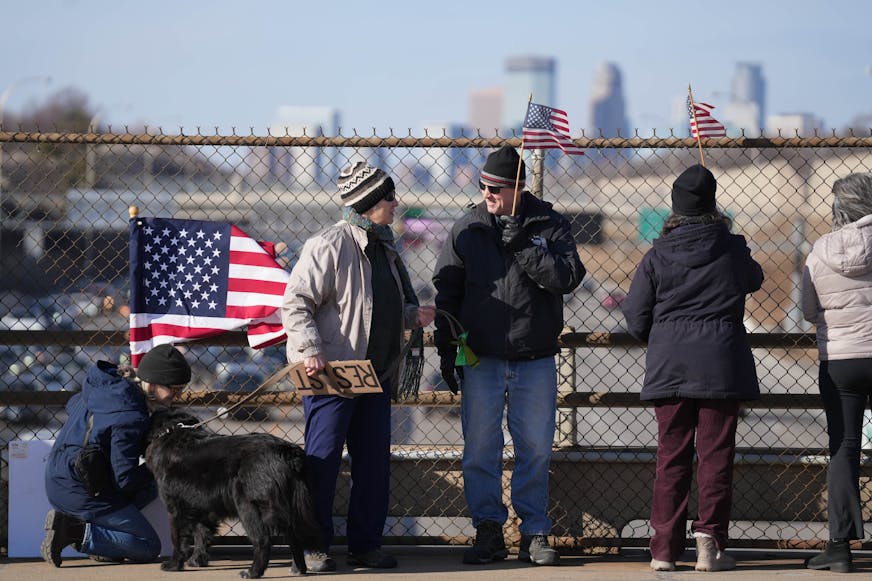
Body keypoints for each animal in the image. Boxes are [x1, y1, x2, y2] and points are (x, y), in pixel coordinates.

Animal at [145, 408, 322, 576]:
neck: (172, 431)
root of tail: (287, 451)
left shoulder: (176, 507)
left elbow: (177, 538)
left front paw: (174, 565)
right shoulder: (201, 507)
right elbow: (201, 533)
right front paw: (197, 560)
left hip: (248, 506)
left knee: (263, 540)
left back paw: (253, 572)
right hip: (290, 506)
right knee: (295, 536)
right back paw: (298, 569)